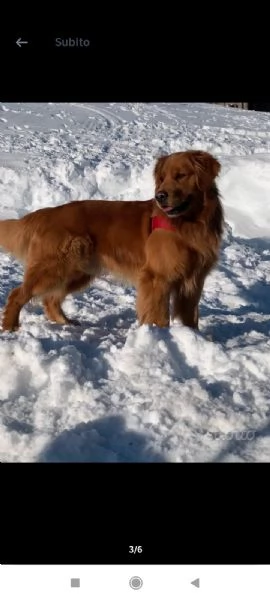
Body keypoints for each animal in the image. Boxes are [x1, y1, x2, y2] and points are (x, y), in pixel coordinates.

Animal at [0, 148, 224, 330]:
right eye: (162, 178)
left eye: (181, 175)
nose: (160, 196)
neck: (190, 224)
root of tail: (47, 213)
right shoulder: (157, 278)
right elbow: (159, 315)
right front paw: (160, 335)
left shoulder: (193, 280)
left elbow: (190, 317)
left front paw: (192, 336)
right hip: (55, 266)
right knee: (18, 294)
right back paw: (11, 327)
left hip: (78, 271)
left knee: (50, 299)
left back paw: (66, 323)